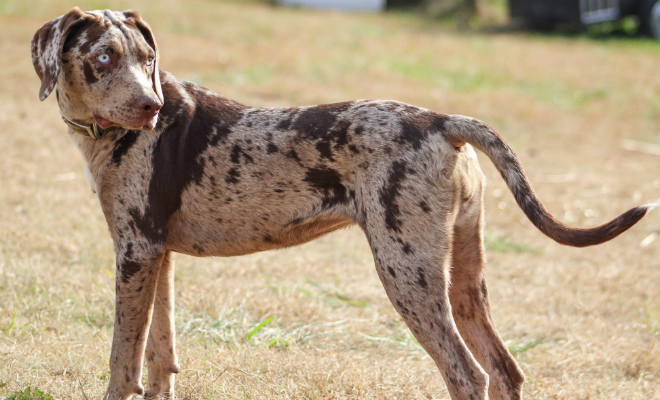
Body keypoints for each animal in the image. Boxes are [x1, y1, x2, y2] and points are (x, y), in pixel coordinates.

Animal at [29, 7, 648, 400]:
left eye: (145, 58)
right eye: (104, 59)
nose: (151, 108)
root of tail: (441, 121)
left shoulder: (135, 254)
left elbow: (121, 362)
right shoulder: (159, 256)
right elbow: (159, 357)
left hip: (406, 272)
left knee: (467, 375)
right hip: (464, 280)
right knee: (504, 372)